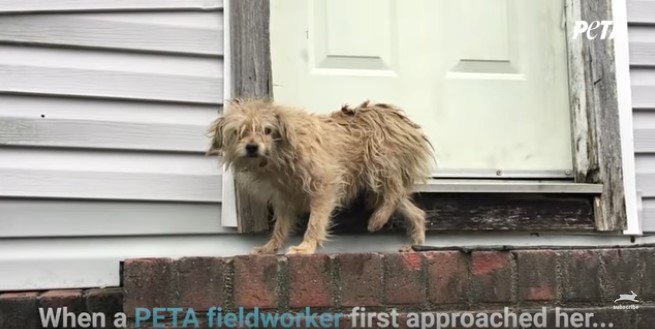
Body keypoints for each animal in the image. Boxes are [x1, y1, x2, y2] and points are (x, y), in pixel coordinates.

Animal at [210, 98, 434, 254]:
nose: (252, 147)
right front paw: (270, 247)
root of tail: (401, 120)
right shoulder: (285, 198)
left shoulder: (324, 185)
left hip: (380, 162)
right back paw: (416, 244)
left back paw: (378, 219)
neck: (281, 155)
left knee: (395, 192)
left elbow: (315, 222)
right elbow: (280, 226)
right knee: (414, 210)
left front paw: (306, 247)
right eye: (238, 132)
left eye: (267, 130)